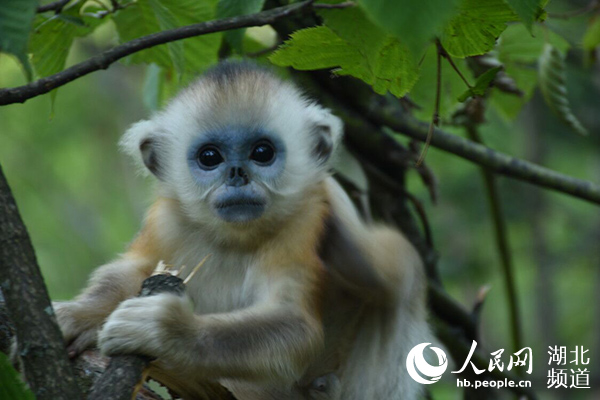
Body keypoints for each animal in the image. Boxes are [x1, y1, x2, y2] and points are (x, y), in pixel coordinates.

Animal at [55, 61, 432, 400]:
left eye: (262, 152)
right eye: (210, 157)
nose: (238, 175)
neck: (234, 238)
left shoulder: (304, 220)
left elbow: (295, 325)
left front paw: (164, 330)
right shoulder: (165, 220)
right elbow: (132, 270)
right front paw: (79, 314)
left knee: (396, 268)